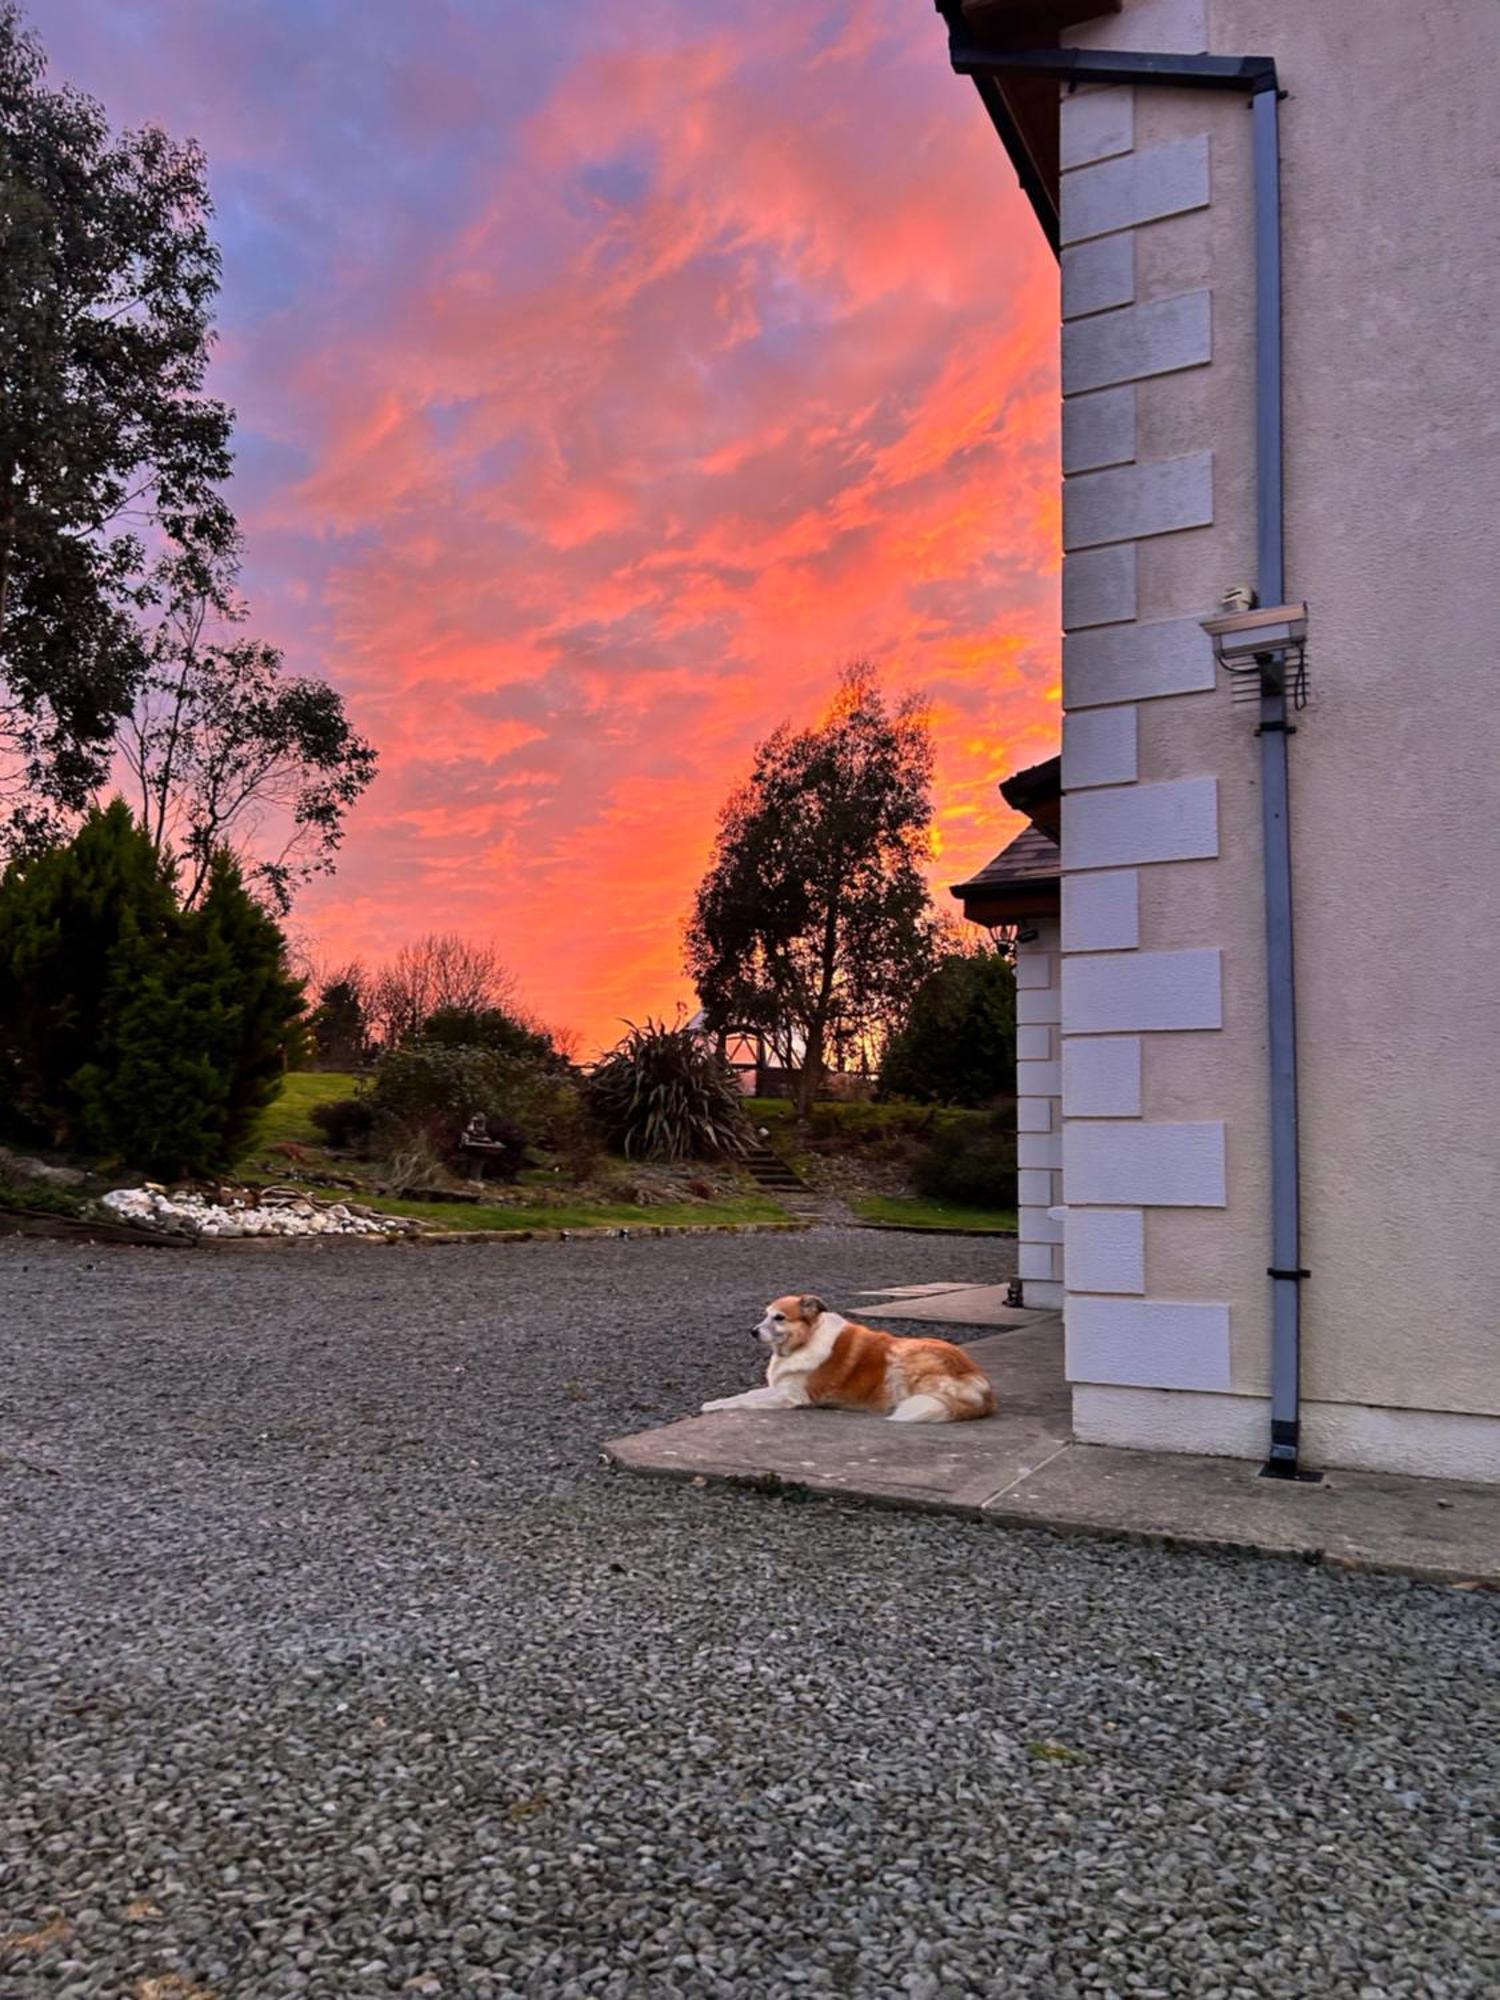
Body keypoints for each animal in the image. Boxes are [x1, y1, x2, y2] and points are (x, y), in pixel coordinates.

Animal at [704, 1296, 1000, 1424]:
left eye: (779, 1317)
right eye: (765, 1314)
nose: (753, 1331)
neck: (805, 1341)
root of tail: (984, 1389)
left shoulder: (792, 1396)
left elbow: (746, 1399)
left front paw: (714, 1406)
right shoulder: (781, 1388)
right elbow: (748, 1393)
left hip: (902, 1357)